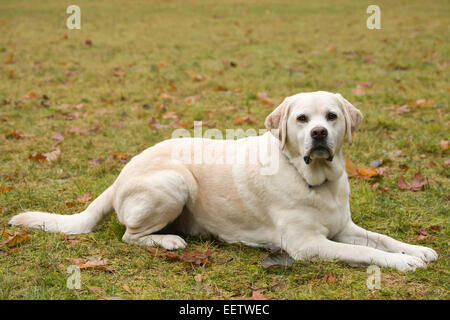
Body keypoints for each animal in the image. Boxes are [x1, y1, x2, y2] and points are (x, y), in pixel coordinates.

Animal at [6, 91, 436, 272]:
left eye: (331, 116)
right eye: (302, 119)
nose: (318, 134)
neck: (312, 177)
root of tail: (120, 174)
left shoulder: (343, 227)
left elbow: (382, 240)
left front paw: (416, 250)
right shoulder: (308, 245)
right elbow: (367, 253)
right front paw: (404, 264)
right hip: (176, 181)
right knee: (130, 235)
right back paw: (168, 240)